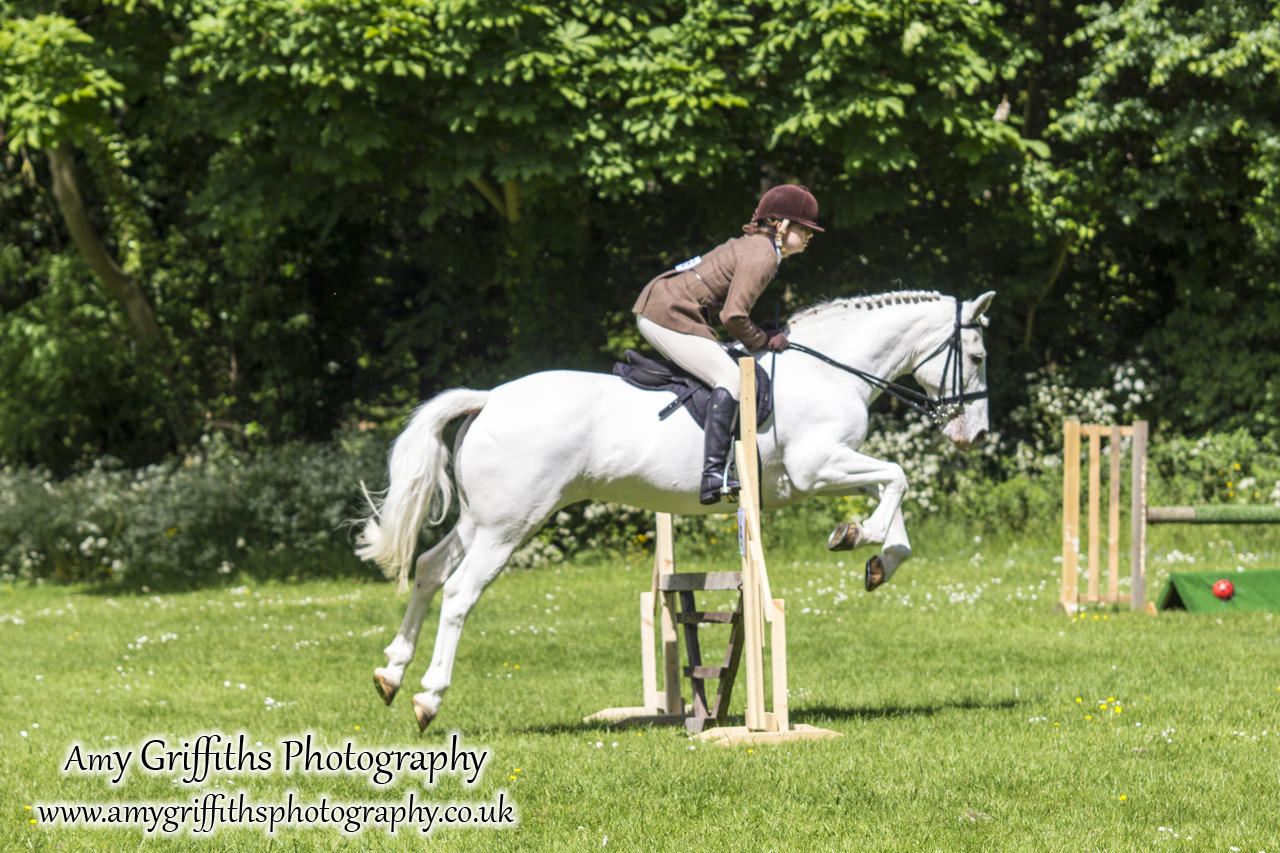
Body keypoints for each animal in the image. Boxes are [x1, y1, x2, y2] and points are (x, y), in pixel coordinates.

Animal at [355, 286, 993, 722]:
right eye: (978, 356)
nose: (975, 435)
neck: (830, 373)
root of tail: (488, 399)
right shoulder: (819, 467)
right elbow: (898, 477)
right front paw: (859, 537)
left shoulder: (824, 472)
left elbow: (893, 493)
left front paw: (876, 558)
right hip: (509, 525)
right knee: (461, 592)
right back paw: (428, 697)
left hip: (480, 520)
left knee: (429, 570)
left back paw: (390, 672)